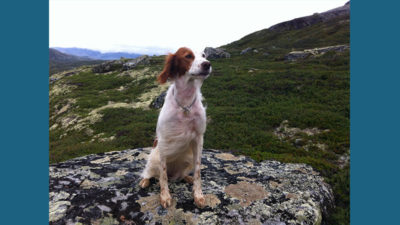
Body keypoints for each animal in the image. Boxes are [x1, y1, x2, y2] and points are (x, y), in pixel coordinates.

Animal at [138, 46, 211, 208]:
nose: (207, 64)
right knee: (150, 172)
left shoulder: (198, 138)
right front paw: (165, 196)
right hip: (154, 157)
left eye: (204, 55)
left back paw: (187, 178)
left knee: (181, 175)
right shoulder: (164, 140)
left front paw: (198, 195)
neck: (185, 103)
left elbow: (198, 171)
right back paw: (145, 180)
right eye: (188, 56)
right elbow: (163, 176)